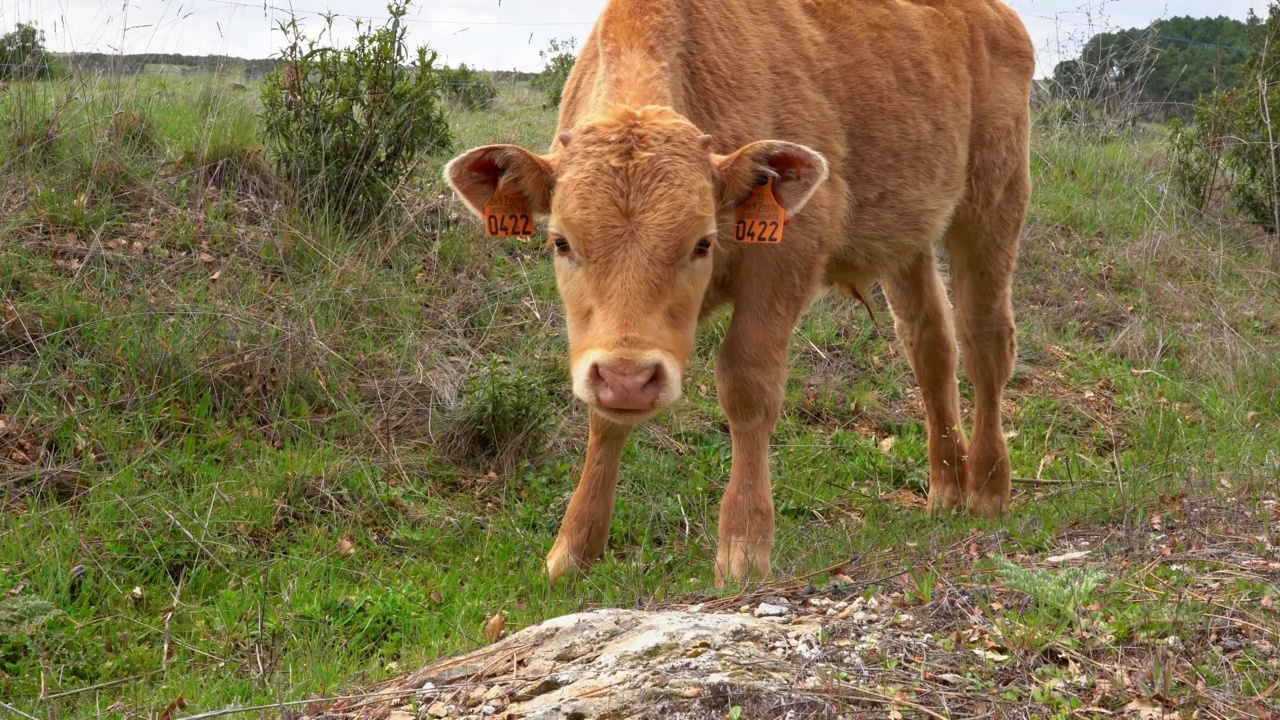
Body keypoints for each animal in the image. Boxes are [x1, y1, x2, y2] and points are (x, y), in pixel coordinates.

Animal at [445, 0, 1034, 584]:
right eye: (561, 242)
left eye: (702, 242)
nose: (630, 379)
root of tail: (999, 16)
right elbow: (601, 417)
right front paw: (572, 550)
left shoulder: (782, 262)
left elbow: (748, 386)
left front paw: (744, 548)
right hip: (907, 241)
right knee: (930, 344)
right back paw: (946, 488)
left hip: (993, 204)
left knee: (985, 341)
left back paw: (988, 489)